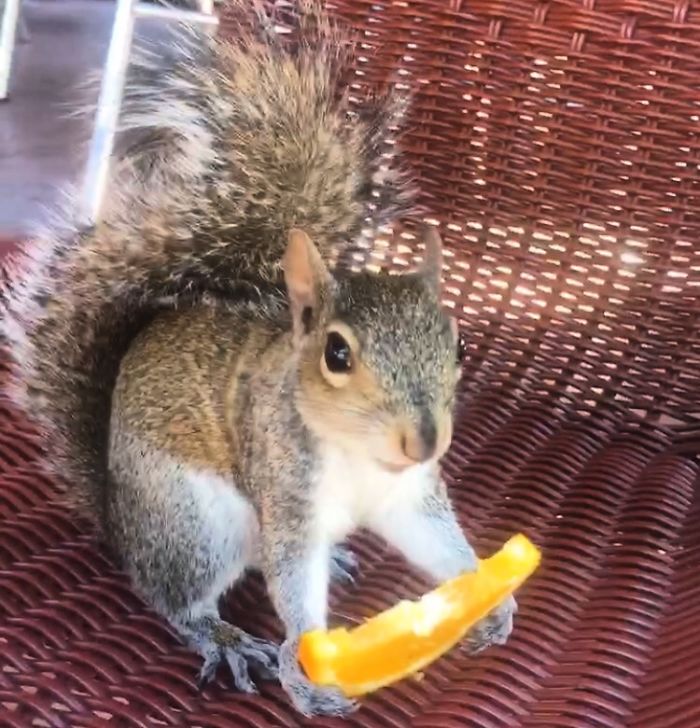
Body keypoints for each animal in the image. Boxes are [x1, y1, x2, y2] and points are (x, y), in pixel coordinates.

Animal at [1, 0, 515, 717]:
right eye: (336, 353)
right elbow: (293, 583)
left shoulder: (409, 497)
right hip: (193, 522)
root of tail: (118, 520)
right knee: (175, 597)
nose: (424, 440)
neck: (361, 457)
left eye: (459, 344)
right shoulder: (286, 489)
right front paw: (305, 667)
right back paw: (220, 635)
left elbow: (436, 540)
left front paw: (489, 598)